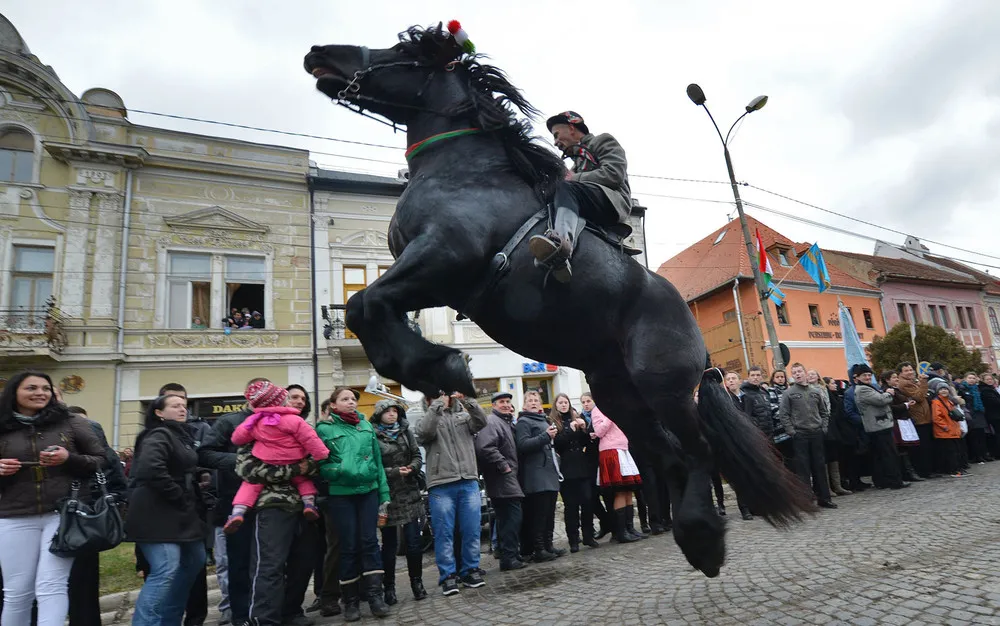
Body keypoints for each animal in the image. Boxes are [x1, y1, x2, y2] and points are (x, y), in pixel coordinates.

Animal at [304, 24, 812, 576]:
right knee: (672, 456)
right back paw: (694, 535)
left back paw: (703, 538)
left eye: (403, 49)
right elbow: (371, 307)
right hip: (619, 394)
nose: (318, 52)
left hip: (663, 385)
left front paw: (440, 366)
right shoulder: (430, 274)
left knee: (697, 450)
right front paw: (432, 368)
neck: (464, 172)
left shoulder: (443, 257)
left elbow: (365, 304)